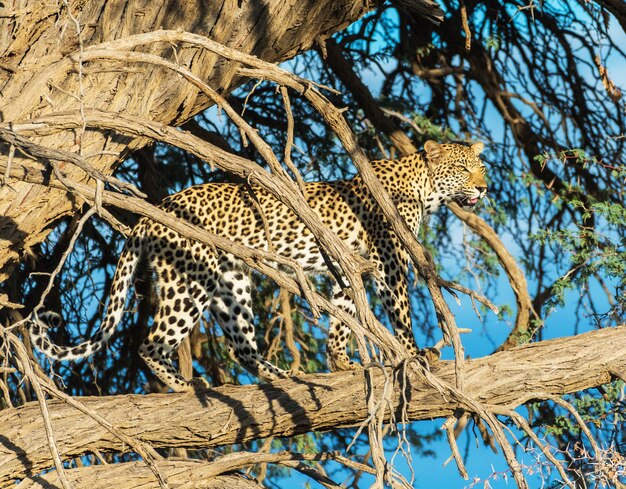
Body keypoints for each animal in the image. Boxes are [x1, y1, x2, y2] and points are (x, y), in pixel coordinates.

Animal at [29, 139, 488, 390]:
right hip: (190, 283)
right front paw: (414, 353)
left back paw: (280, 375)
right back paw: (185, 385)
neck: (424, 189)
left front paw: (339, 359)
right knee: (149, 344)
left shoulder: (349, 265)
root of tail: (151, 214)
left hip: (230, 283)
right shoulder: (387, 261)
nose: (484, 188)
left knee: (241, 345)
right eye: (462, 168)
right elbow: (399, 311)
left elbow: (343, 313)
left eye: (480, 167)